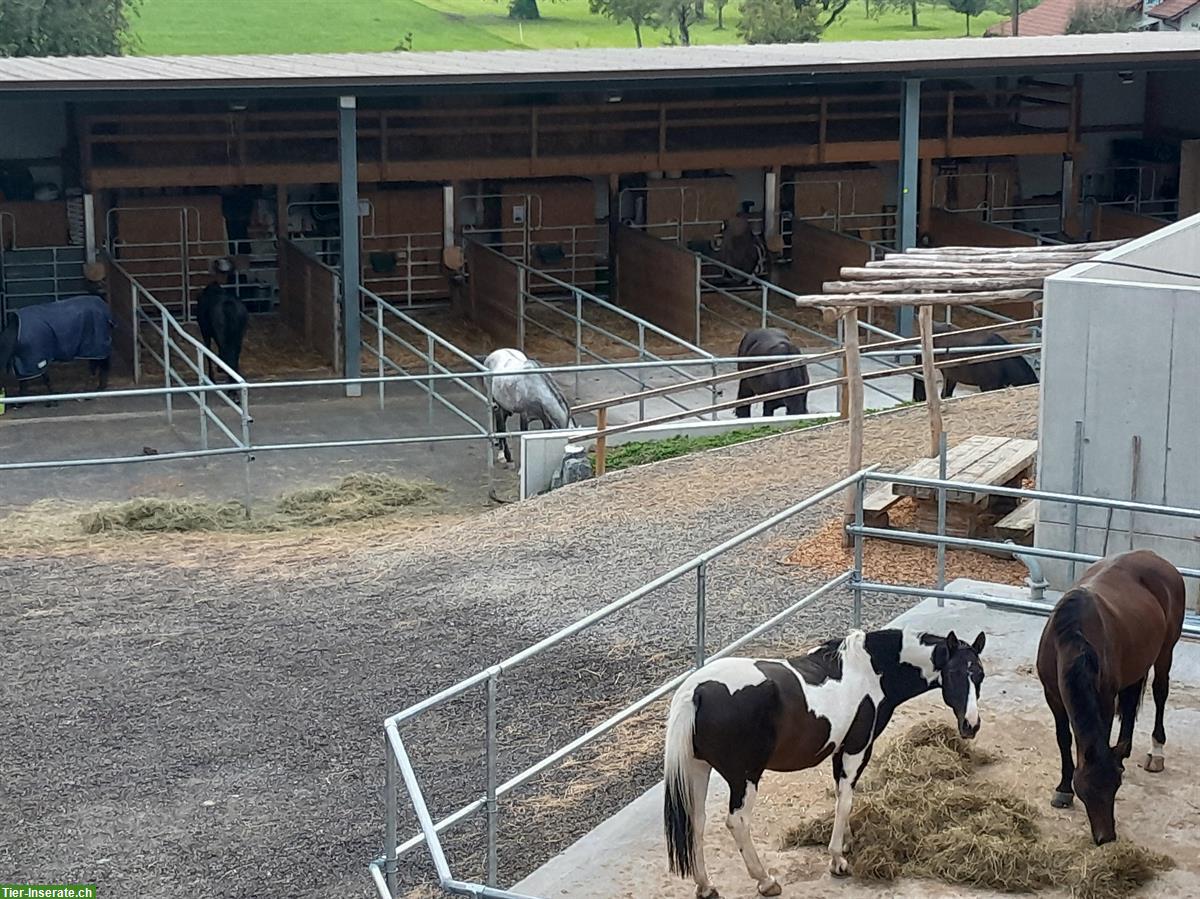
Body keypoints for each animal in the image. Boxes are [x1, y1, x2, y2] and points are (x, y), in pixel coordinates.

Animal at [667, 628, 984, 892]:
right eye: (954, 673)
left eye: (979, 675)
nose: (971, 725)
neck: (871, 669)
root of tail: (696, 692)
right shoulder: (857, 749)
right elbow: (845, 801)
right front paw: (837, 860)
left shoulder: (839, 750)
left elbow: (841, 797)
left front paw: (845, 844)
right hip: (744, 776)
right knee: (738, 822)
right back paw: (766, 881)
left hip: (699, 768)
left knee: (696, 820)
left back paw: (706, 886)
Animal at [1036, 549, 1185, 844]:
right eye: (1084, 790)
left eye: (1115, 787)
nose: (1106, 837)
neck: (1071, 639)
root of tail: (1157, 558)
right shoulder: (1053, 697)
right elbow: (1063, 739)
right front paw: (1063, 789)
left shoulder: (1103, 698)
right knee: (1130, 702)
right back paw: (1124, 750)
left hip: (1165, 651)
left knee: (1160, 692)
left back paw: (1156, 752)